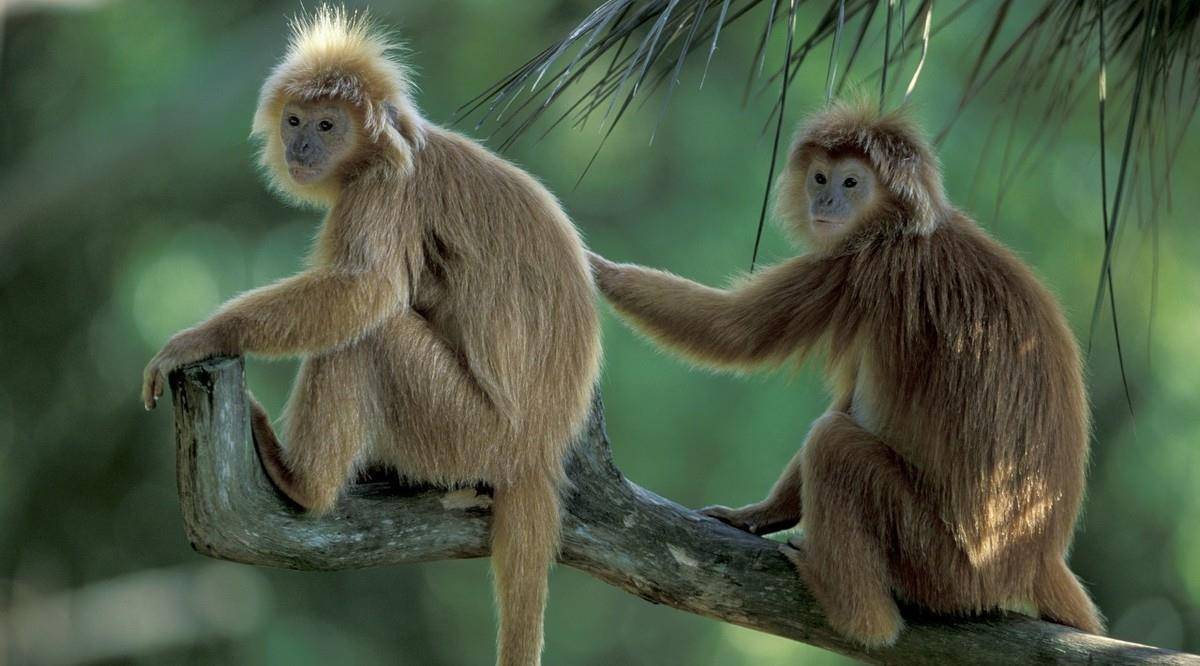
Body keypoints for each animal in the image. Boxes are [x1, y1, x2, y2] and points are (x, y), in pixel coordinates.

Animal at [141, 6, 604, 666]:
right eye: (295, 120)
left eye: (328, 125)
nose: (301, 145)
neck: (388, 151)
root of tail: (541, 451)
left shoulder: (385, 192)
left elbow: (363, 293)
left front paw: (201, 337)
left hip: (472, 434)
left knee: (369, 338)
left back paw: (304, 485)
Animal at [585, 101, 1099, 648]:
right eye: (820, 177)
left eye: (852, 182)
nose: (826, 199)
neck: (910, 231)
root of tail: (1036, 560)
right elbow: (847, 399)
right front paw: (763, 514)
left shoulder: (860, 266)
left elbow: (733, 331)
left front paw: (594, 266)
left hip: (940, 564)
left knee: (834, 445)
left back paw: (854, 612)